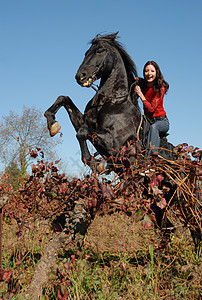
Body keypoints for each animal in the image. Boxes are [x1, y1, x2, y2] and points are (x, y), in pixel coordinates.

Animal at [45, 31, 173, 171]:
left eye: (100, 50)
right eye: (86, 52)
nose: (80, 76)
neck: (110, 101)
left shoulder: (114, 144)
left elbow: (82, 132)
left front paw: (95, 163)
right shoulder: (86, 123)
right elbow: (64, 100)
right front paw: (52, 124)